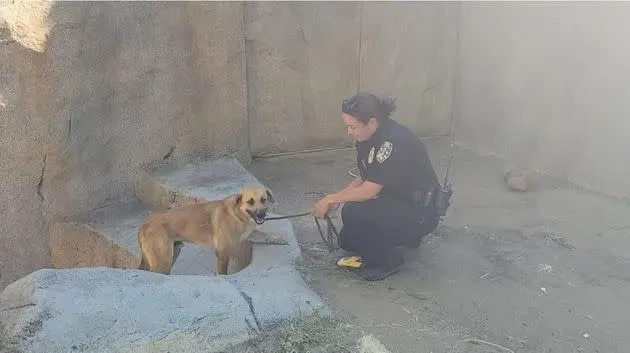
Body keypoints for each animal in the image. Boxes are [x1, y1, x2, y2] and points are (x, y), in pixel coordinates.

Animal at [139, 186, 288, 274]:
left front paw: (277, 239)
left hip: (173, 254)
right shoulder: (222, 253)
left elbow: (264, 234)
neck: (238, 214)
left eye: (263, 200)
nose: (261, 215)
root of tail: (144, 225)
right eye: (250, 202)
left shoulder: (248, 233)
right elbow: (222, 273)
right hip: (162, 262)